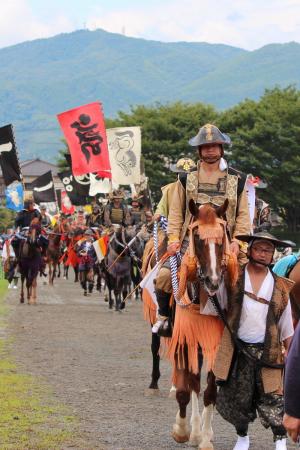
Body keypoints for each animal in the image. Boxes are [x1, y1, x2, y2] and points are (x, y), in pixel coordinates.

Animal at [168, 200, 238, 450]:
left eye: (222, 238)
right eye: (197, 237)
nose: (213, 280)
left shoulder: (218, 340)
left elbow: (209, 390)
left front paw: (206, 437)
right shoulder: (186, 336)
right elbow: (187, 386)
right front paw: (184, 430)